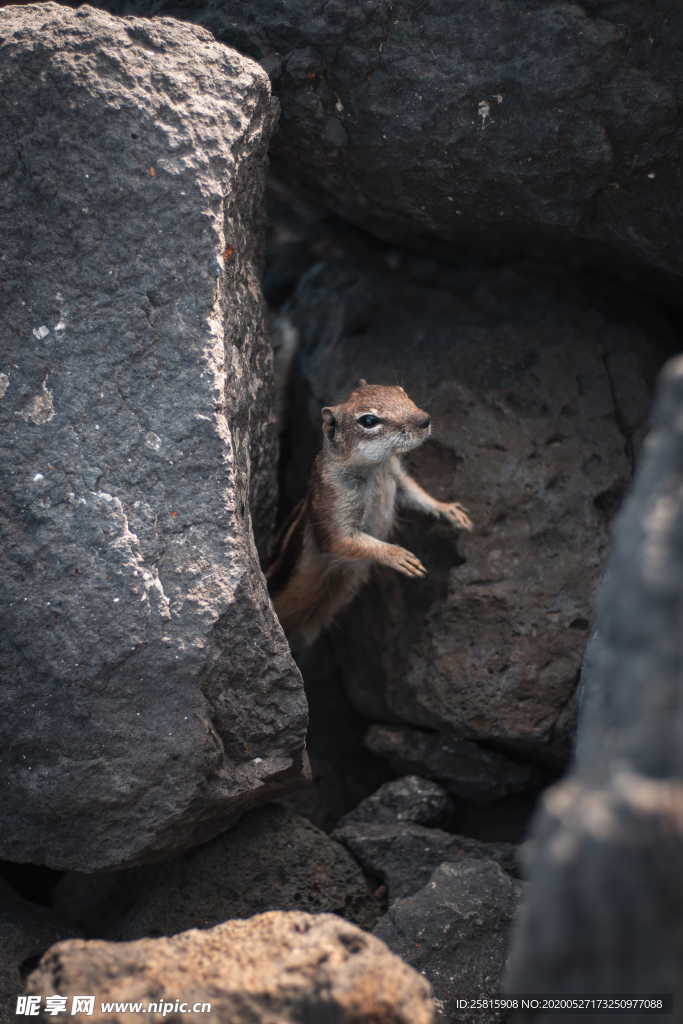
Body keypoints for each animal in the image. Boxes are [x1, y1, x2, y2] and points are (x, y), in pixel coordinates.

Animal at [264, 380, 473, 651]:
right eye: (369, 420)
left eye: (401, 391)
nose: (424, 419)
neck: (377, 468)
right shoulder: (334, 503)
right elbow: (341, 541)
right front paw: (398, 555)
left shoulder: (397, 475)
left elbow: (414, 492)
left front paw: (448, 509)